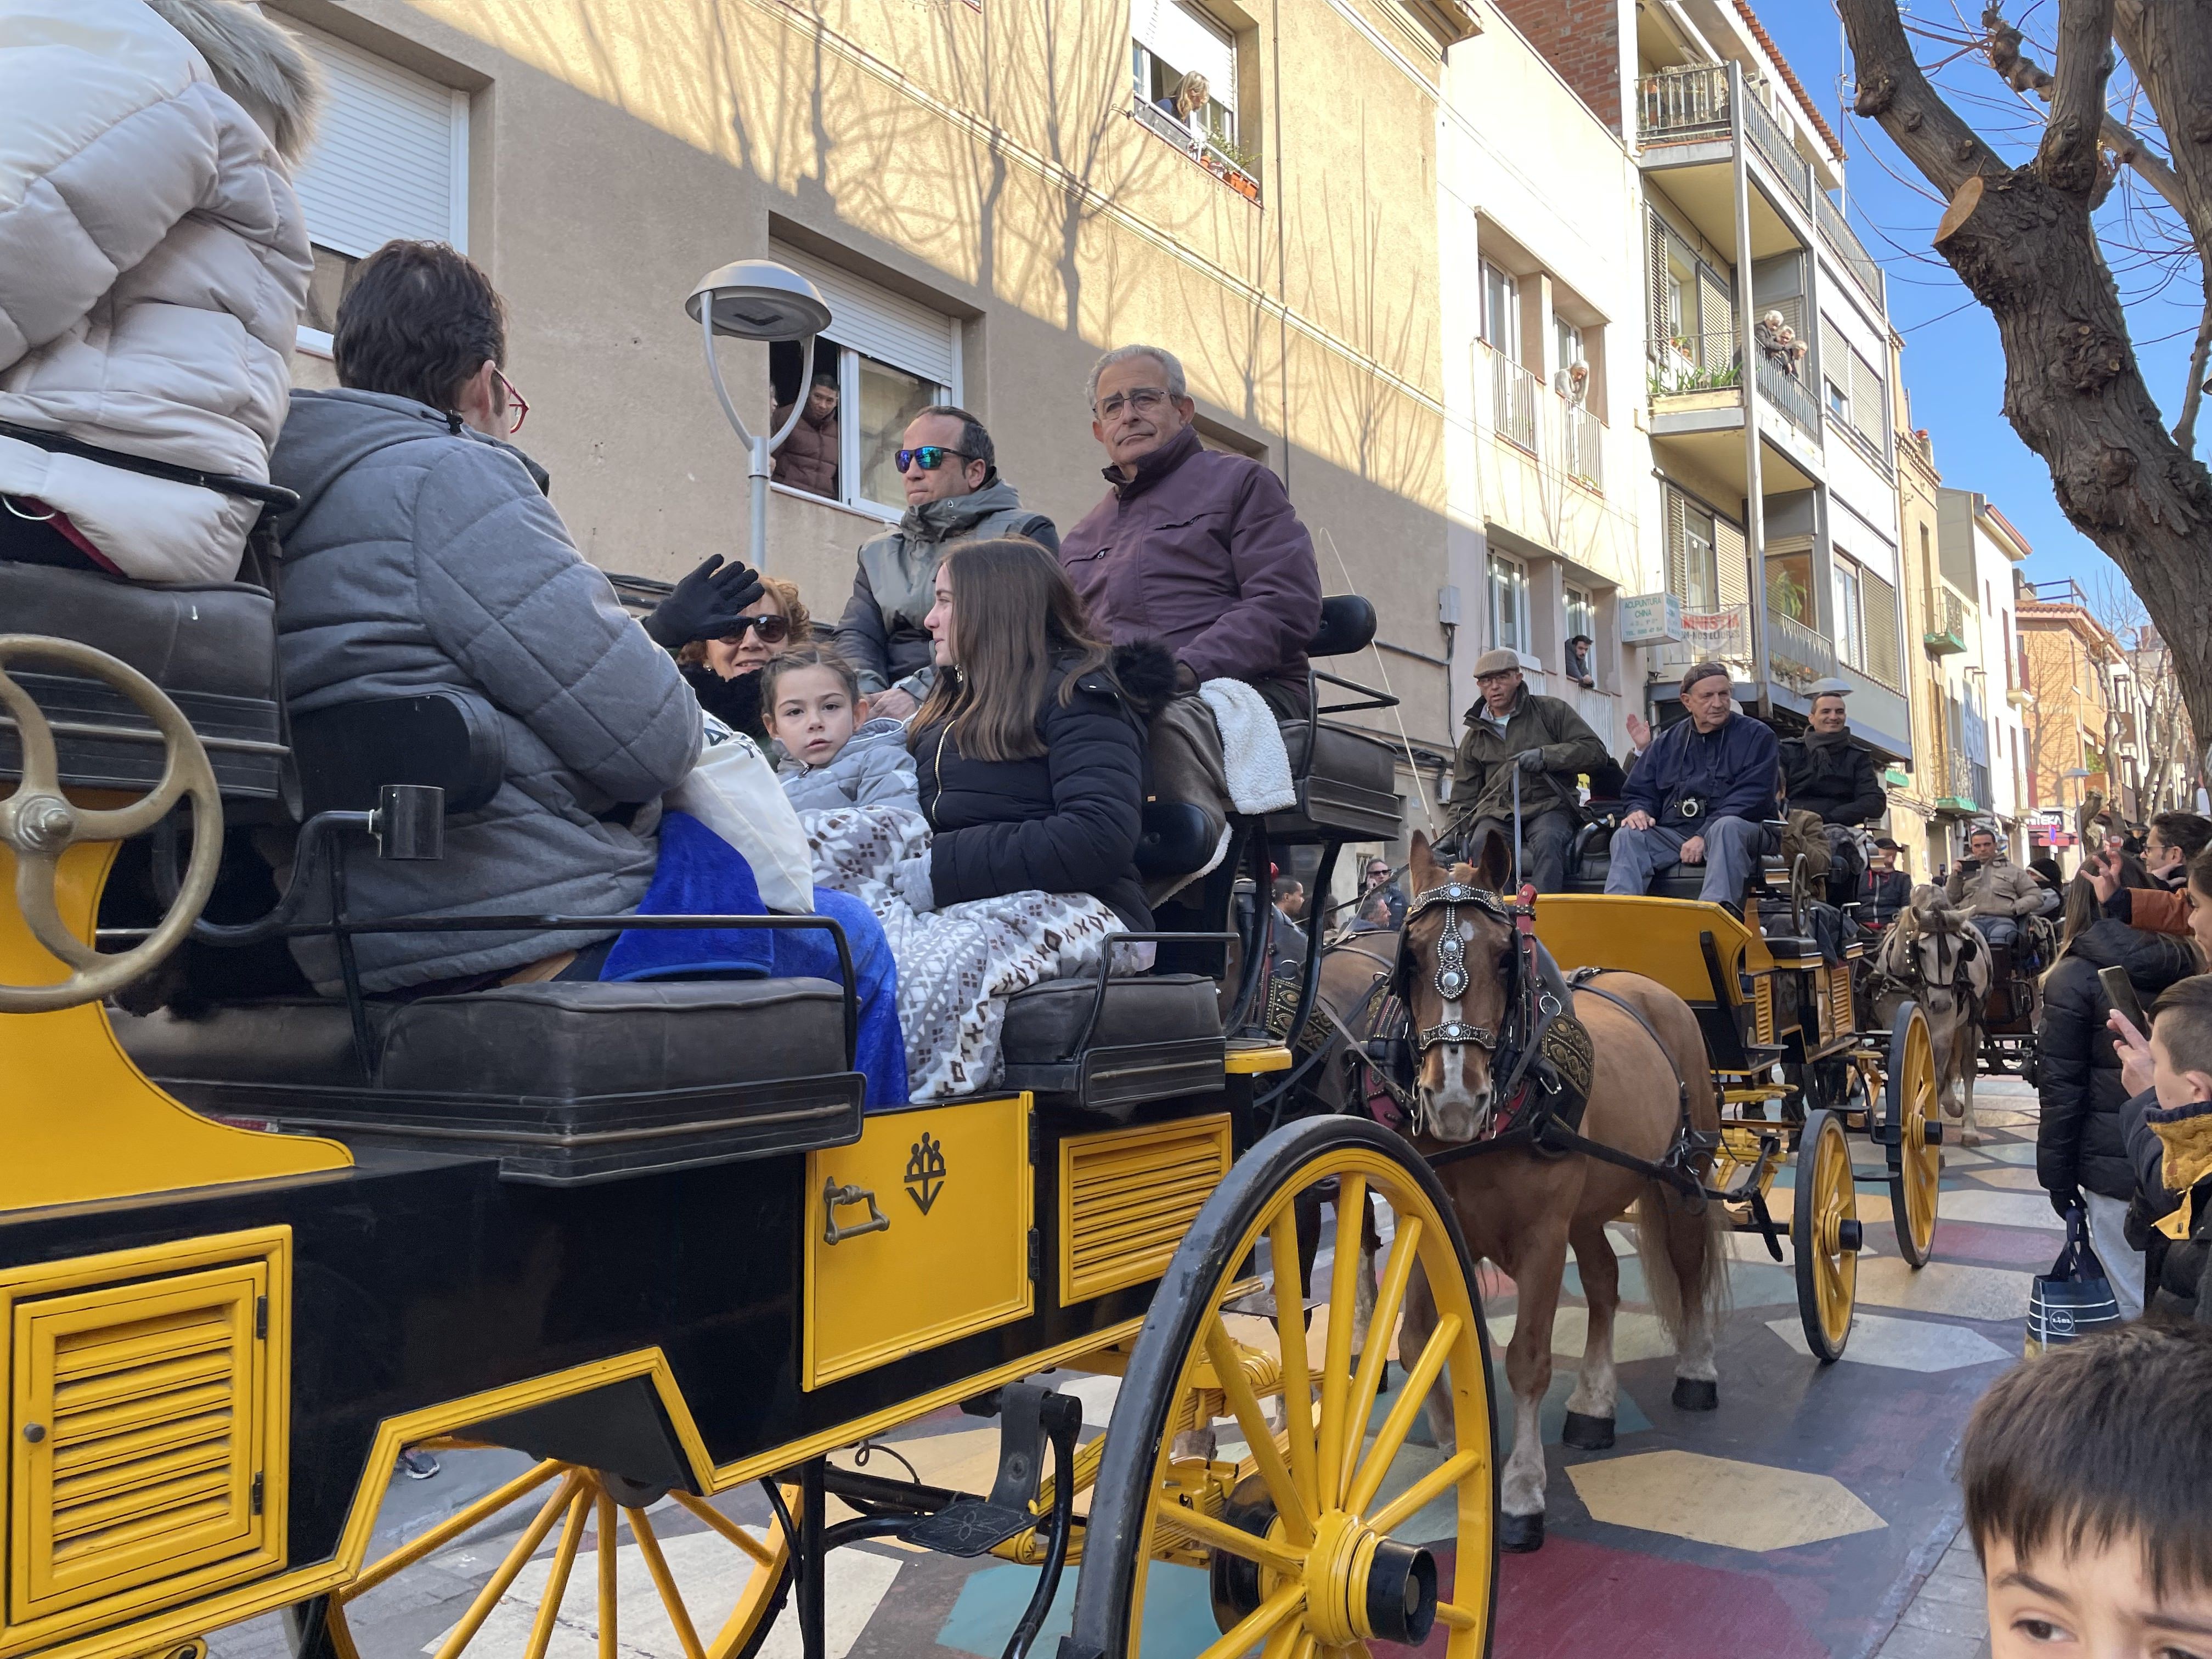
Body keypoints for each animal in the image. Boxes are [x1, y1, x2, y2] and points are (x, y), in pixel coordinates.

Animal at [1389, 836, 1734, 1557]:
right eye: (1411, 958)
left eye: (1503, 956)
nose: (1455, 1100)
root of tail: (1649, 987)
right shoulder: (1438, 1219)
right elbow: (1416, 1341)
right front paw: (1455, 1452)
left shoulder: (1543, 1237)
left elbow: (1526, 1358)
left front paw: (1521, 1492)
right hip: (1594, 1201)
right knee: (1603, 1279)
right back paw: (1594, 1405)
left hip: (1680, 1173)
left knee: (1686, 1264)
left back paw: (1695, 1370)